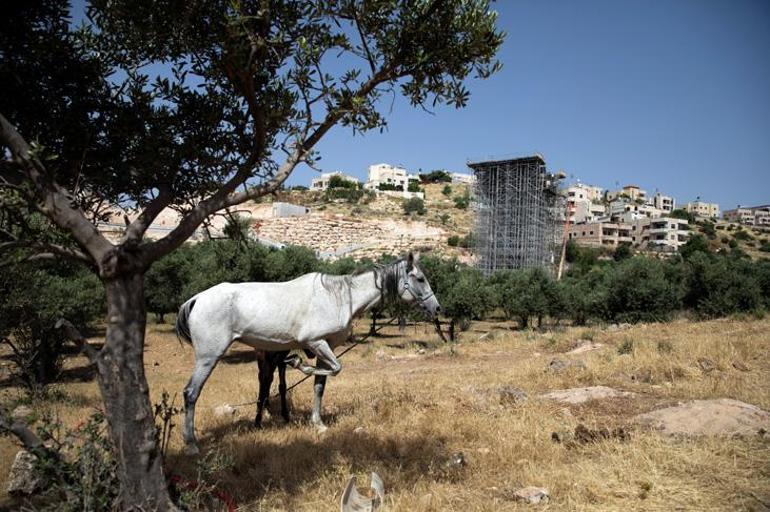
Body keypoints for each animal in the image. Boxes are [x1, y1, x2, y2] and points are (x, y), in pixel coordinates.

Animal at [174, 252, 438, 452]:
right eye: (420, 278)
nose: (437, 308)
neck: (340, 298)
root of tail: (196, 299)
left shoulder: (326, 347)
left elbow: (320, 385)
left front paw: (318, 423)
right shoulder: (316, 342)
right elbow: (335, 369)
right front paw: (297, 362)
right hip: (209, 358)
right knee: (191, 393)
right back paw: (192, 444)